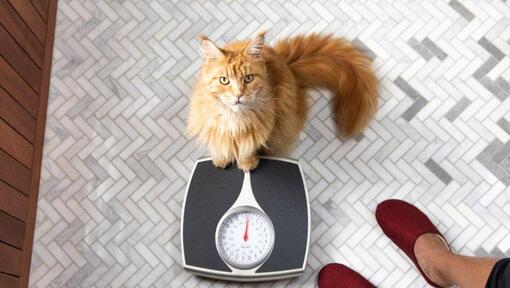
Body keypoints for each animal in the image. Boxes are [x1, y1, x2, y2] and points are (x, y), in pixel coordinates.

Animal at [187, 32, 378, 171]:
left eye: (248, 78)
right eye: (224, 80)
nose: (239, 94)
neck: (235, 120)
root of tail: (288, 65)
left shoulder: (267, 127)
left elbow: (249, 148)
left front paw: (248, 163)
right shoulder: (213, 128)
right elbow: (220, 144)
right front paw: (220, 159)